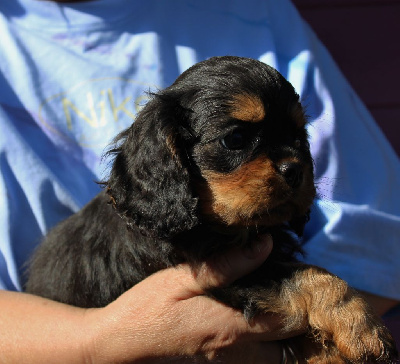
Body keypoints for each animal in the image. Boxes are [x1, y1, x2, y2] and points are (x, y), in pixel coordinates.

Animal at [25, 55, 396, 362]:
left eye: (299, 137)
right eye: (235, 140)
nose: (295, 169)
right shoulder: (222, 272)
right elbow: (311, 276)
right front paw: (361, 325)